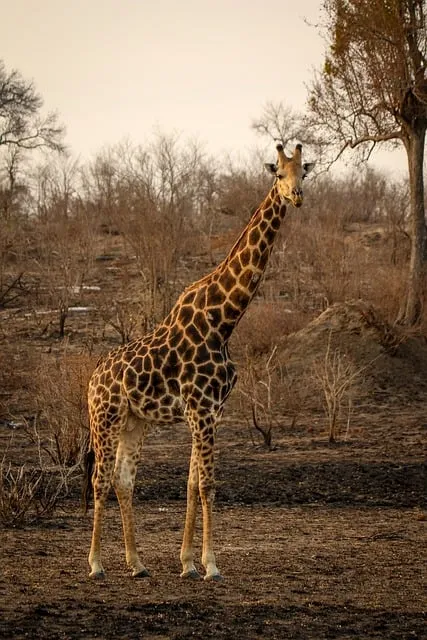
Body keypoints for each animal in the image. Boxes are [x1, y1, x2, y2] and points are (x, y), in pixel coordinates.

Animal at [83, 143, 315, 581]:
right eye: (278, 173)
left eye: (304, 174)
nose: (296, 197)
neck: (224, 320)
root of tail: (90, 380)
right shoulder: (201, 409)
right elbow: (207, 483)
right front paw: (210, 565)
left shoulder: (212, 411)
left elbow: (192, 482)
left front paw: (188, 562)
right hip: (105, 417)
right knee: (99, 478)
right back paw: (96, 564)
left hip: (135, 422)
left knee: (123, 480)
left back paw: (137, 564)